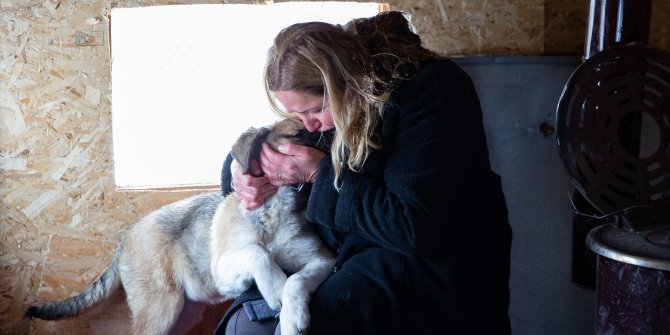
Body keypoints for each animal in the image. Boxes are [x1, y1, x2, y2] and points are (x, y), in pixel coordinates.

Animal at [25, 119, 336, 334]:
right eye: (299, 135)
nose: (334, 149)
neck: (275, 209)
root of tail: (127, 238)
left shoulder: (323, 260)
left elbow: (296, 281)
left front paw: (292, 316)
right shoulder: (224, 269)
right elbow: (257, 253)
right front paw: (275, 289)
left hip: (181, 313)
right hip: (162, 308)